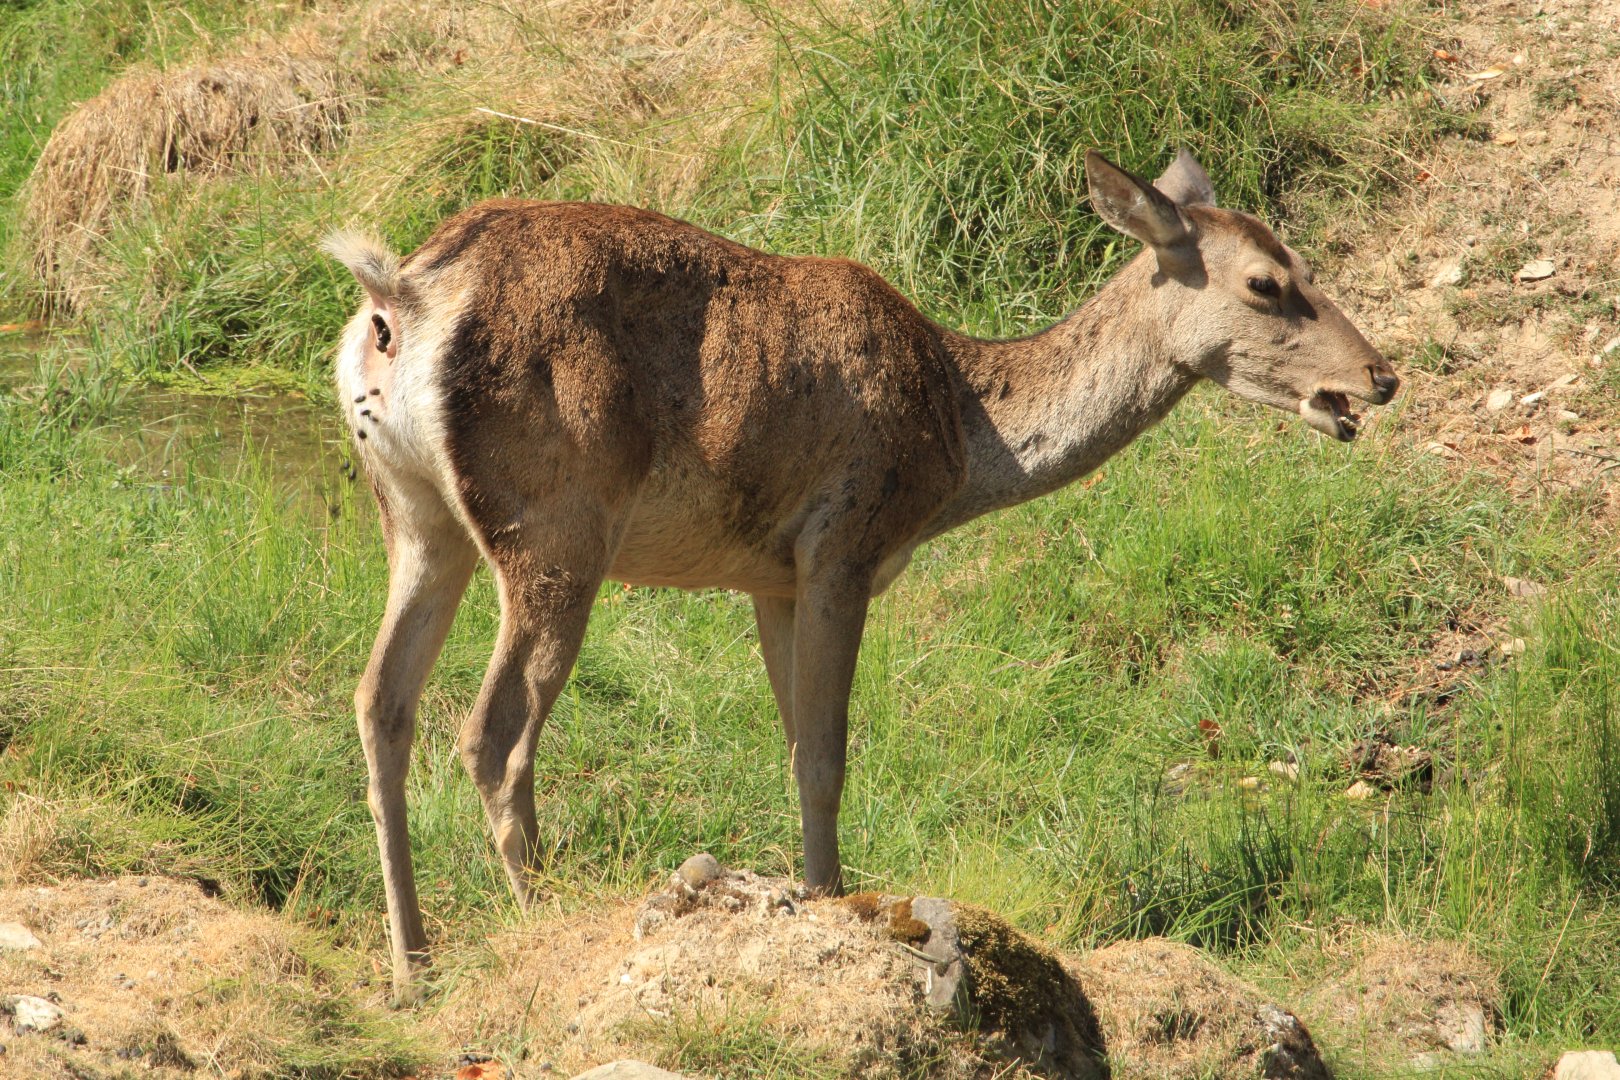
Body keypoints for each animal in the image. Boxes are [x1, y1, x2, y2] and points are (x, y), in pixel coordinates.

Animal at [324, 148, 1397, 1004]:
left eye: (1303, 265)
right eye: (1266, 283)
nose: (1380, 378)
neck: (963, 439)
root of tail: (399, 301)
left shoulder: (771, 574)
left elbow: (797, 742)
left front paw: (816, 895)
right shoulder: (845, 541)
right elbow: (829, 754)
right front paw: (838, 907)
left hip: (417, 516)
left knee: (380, 699)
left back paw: (412, 964)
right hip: (557, 520)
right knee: (493, 729)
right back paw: (540, 918)